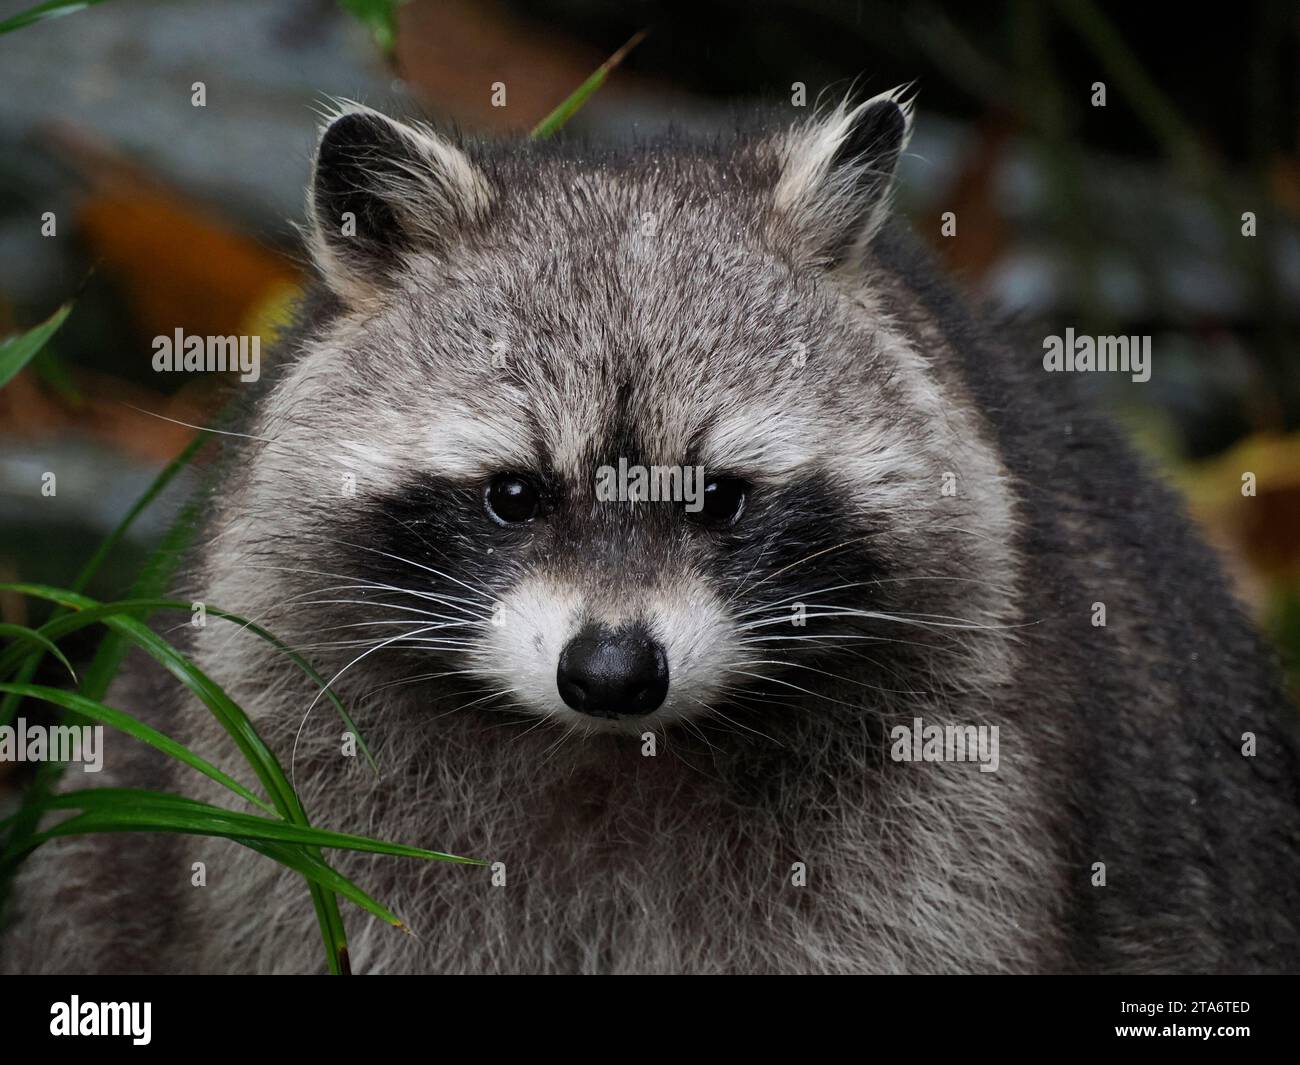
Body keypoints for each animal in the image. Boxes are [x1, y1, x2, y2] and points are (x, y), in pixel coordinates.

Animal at [4, 90, 1299, 974]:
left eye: (720, 498)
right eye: (514, 496)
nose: (614, 674)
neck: (609, 756)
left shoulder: (949, 796)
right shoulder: (289, 769)